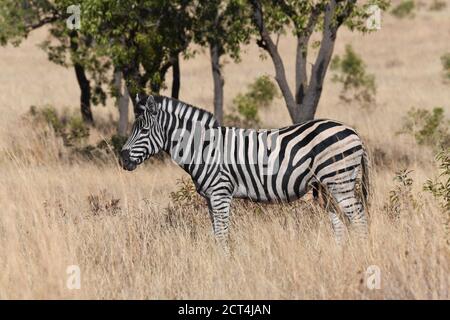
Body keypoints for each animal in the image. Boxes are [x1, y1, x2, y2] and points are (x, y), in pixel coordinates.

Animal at [119, 94, 370, 254]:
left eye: (144, 130)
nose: (122, 158)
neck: (203, 148)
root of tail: (353, 131)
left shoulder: (220, 192)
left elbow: (222, 233)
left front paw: (225, 265)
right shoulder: (210, 197)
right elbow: (215, 232)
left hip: (339, 181)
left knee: (359, 217)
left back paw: (361, 254)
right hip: (327, 187)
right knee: (339, 222)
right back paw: (338, 255)